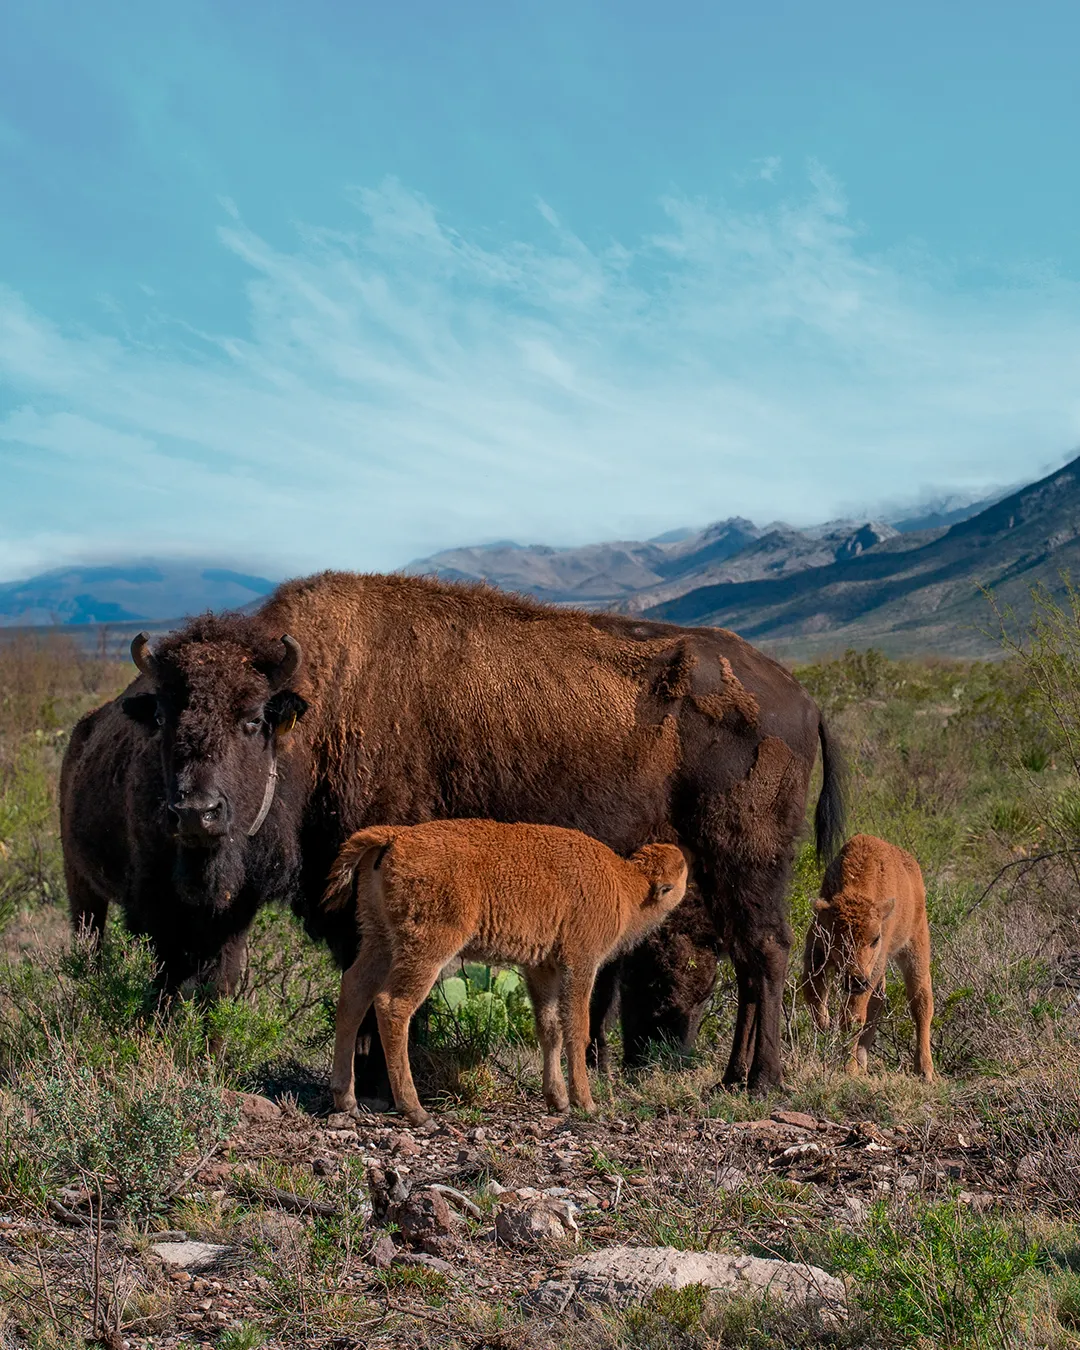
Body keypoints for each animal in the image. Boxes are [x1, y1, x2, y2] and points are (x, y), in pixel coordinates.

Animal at [61, 564, 842, 1090]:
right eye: (163, 716)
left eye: (253, 719)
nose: (195, 813)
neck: (321, 707)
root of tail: (801, 699)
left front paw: (383, 1081)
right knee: (750, 960)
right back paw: (733, 1077)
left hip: (748, 859)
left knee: (766, 953)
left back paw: (761, 1081)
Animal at [325, 815, 688, 1123]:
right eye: (682, 872)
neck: (625, 882)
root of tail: (396, 836)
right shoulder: (580, 964)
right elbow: (576, 1028)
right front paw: (585, 1102)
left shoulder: (541, 968)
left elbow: (549, 1028)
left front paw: (557, 1100)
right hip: (427, 948)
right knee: (392, 1005)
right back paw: (415, 1111)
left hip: (379, 939)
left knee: (353, 991)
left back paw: (346, 1100)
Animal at [799, 831, 934, 1085]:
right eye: (834, 936)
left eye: (875, 938)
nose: (856, 979)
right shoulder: (817, 951)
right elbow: (812, 993)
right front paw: (825, 1029)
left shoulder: (871, 969)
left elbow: (852, 1017)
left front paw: (848, 1068)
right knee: (878, 1001)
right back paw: (863, 1060)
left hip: (915, 945)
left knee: (921, 1002)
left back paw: (925, 1070)